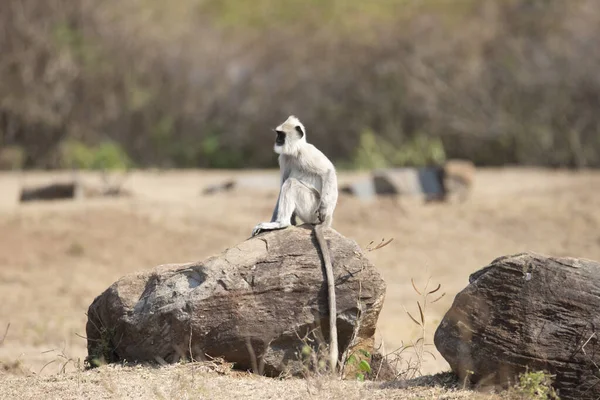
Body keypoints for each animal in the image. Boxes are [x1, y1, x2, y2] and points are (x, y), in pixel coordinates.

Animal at [251, 115, 340, 372]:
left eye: (281, 134)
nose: (276, 141)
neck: (295, 151)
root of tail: (325, 224)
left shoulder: (307, 153)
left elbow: (328, 171)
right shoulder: (284, 158)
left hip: (311, 207)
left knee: (291, 184)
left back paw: (282, 223)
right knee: (287, 183)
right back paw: (285, 222)